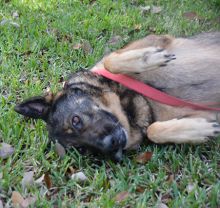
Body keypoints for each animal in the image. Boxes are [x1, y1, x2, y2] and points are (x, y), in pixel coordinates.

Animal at [14, 32, 219, 162]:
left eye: (75, 120)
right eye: (82, 149)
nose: (112, 147)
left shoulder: (156, 39)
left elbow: (110, 61)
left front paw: (148, 58)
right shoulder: (208, 113)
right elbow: (153, 131)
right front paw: (198, 130)